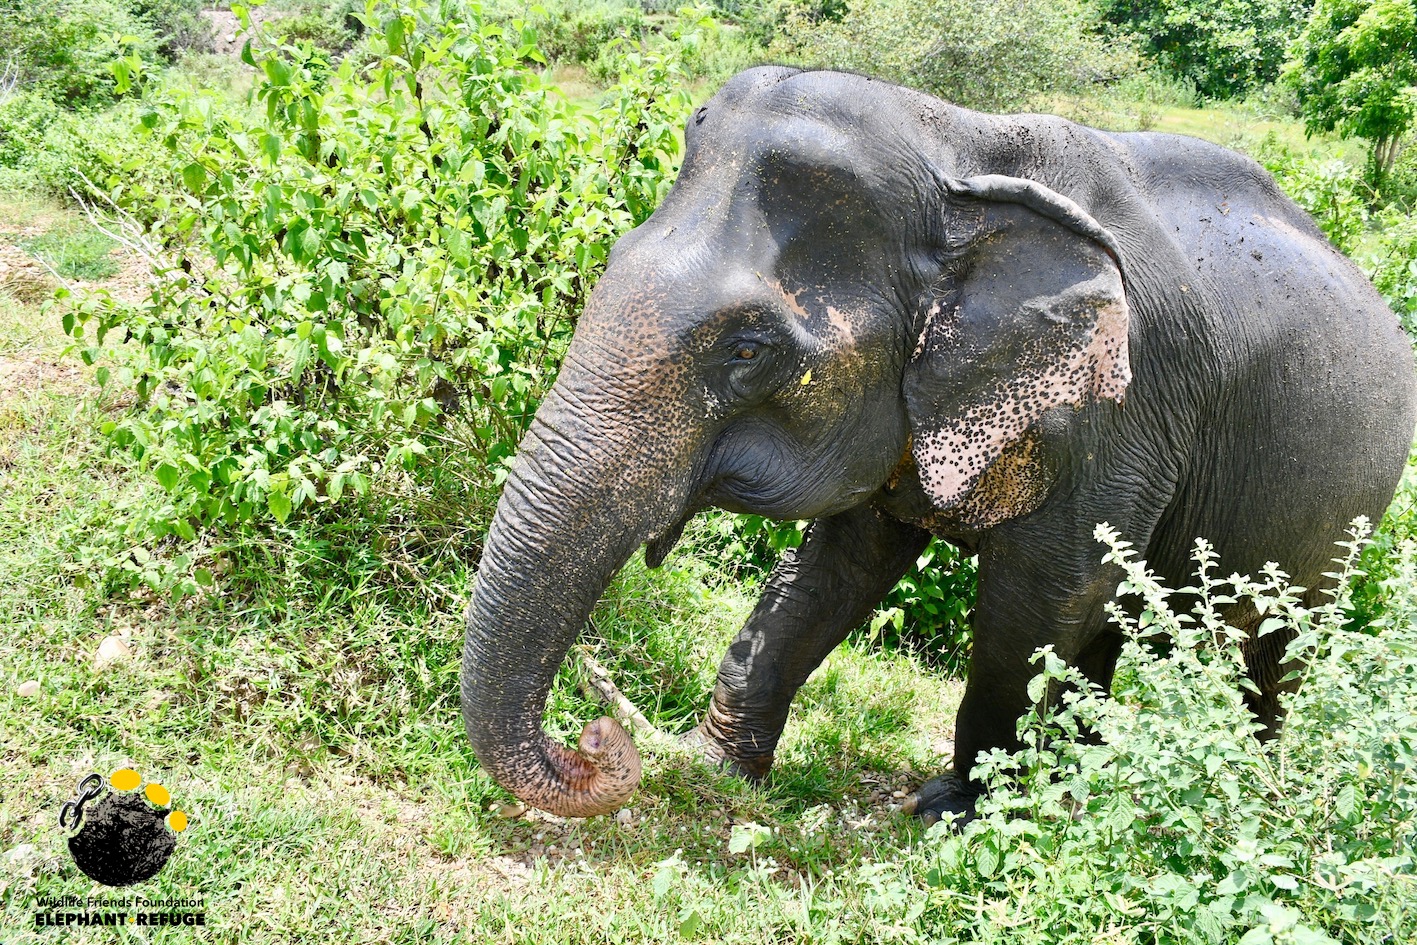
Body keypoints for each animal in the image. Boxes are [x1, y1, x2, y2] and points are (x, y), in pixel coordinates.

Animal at [460, 67, 1417, 823]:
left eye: (746, 348)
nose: (596, 742)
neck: (960, 148)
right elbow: (836, 566)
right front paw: (718, 768)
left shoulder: (1125, 404)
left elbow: (1043, 594)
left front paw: (953, 810)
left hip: (1348, 516)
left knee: (1270, 653)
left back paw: (1249, 784)